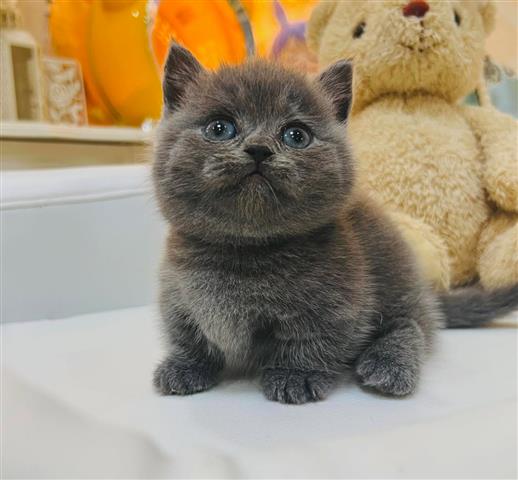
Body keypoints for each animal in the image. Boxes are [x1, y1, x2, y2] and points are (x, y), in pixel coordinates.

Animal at [153, 46, 518, 404]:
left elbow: (313, 339)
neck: (245, 251)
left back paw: (388, 364)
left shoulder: (336, 303)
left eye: (296, 135)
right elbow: (186, 333)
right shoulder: (177, 292)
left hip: (396, 279)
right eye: (220, 128)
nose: (259, 149)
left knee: (413, 324)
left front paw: (295, 375)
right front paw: (184, 366)